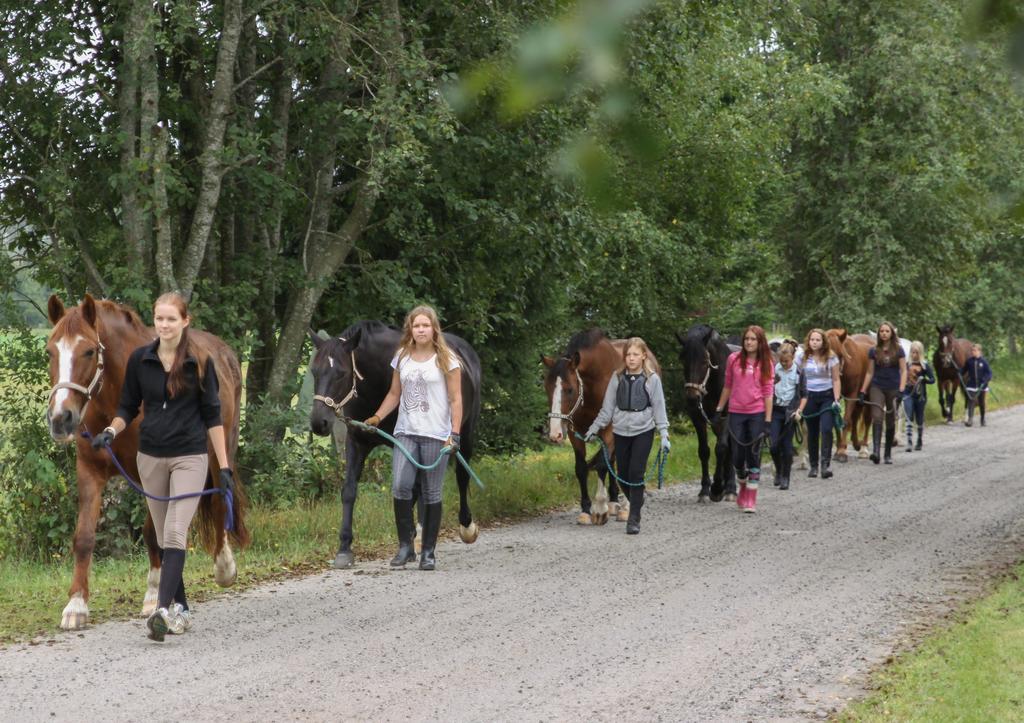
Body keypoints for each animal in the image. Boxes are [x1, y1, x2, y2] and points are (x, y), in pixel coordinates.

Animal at [46, 290, 249, 626]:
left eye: (88, 351)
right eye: (50, 351)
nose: (61, 419)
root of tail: (224, 352)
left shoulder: (152, 474)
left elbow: (154, 534)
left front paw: (155, 596)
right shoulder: (89, 471)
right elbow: (84, 537)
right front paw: (76, 606)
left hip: (221, 450)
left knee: (221, 498)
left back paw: (224, 567)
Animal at [307, 317, 483, 565]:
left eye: (341, 373)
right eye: (314, 371)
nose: (318, 423)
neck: (378, 383)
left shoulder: (405, 442)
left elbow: (413, 489)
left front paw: (411, 541)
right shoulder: (357, 441)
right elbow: (349, 490)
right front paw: (344, 548)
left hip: (464, 434)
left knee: (461, 476)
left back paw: (464, 527)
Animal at [540, 327, 659, 524]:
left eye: (570, 390)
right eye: (547, 389)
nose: (555, 434)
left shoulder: (609, 431)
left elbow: (602, 466)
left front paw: (600, 508)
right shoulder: (575, 433)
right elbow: (581, 468)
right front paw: (585, 510)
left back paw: (624, 507)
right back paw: (614, 502)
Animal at [671, 327, 737, 501]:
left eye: (705, 362)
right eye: (683, 360)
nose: (692, 397)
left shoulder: (726, 417)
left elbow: (721, 448)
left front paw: (717, 487)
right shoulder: (697, 416)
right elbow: (704, 451)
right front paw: (705, 489)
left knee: (730, 448)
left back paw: (730, 488)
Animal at [823, 327, 872, 458]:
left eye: (840, 355)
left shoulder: (851, 396)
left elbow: (845, 420)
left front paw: (842, 451)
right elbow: (836, 422)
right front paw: (839, 448)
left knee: (867, 420)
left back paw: (863, 448)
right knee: (855, 418)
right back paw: (856, 443)